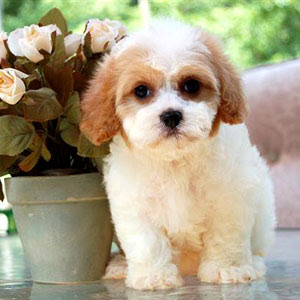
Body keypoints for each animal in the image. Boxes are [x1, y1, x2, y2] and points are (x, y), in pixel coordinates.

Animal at [80, 19, 276, 290]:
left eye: (191, 85)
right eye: (141, 91)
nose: (171, 115)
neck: (174, 159)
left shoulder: (230, 198)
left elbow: (226, 236)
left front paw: (227, 268)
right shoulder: (135, 203)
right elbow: (147, 242)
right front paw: (154, 276)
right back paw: (120, 265)